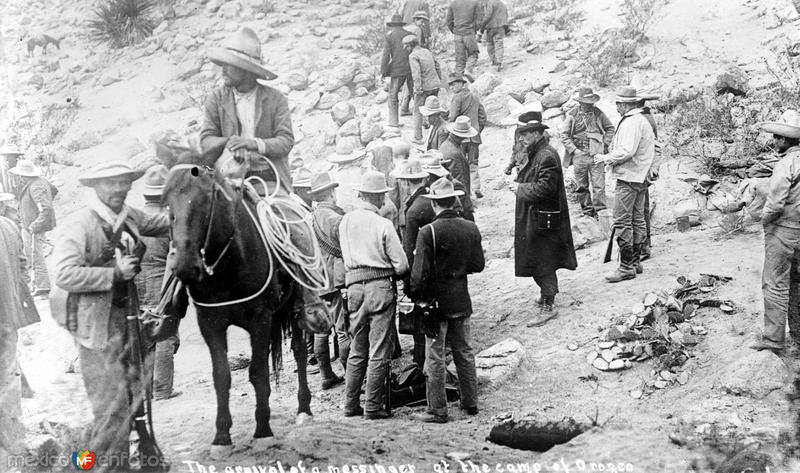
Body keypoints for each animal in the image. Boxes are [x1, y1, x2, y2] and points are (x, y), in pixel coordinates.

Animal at [162, 163, 332, 458]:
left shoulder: (260, 319)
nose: (184, 266)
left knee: (300, 353)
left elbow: (258, 372)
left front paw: (263, 432)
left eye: (207, 201)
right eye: (169, 205)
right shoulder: (210, 323)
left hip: (295, 312)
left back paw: (304, 410)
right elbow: (222, 377)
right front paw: (221, 438)